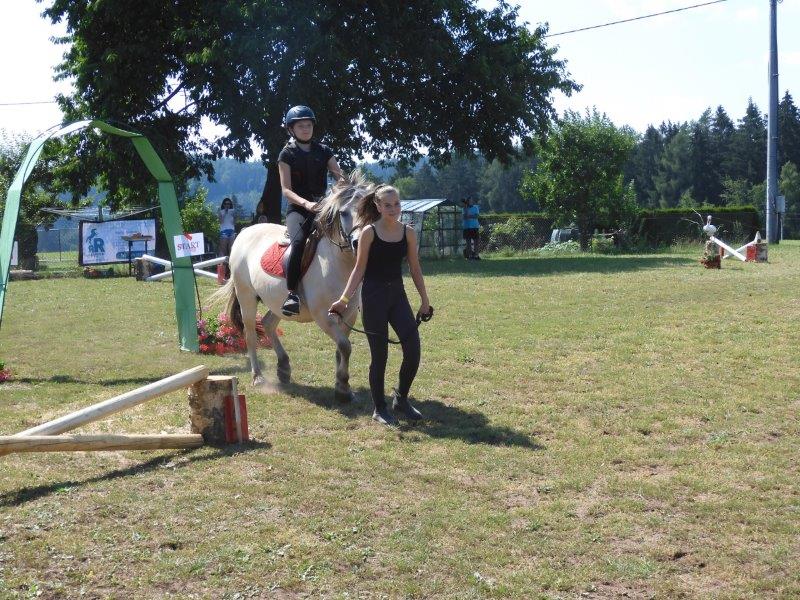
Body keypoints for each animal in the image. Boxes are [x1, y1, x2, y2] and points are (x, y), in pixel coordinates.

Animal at [211, 172, 368, 400]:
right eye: (344, 213)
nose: (358, 243)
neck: (339, 263)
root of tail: (245, 232)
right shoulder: (324, 316)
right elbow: (345, 346)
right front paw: (343, 389)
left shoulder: (348, 315)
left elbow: (342, 349)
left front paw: (342, 385)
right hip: (246, 296)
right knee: (250, 334)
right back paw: (258, 377)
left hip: (277, 302)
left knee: (267, 323)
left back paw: (284, 368)